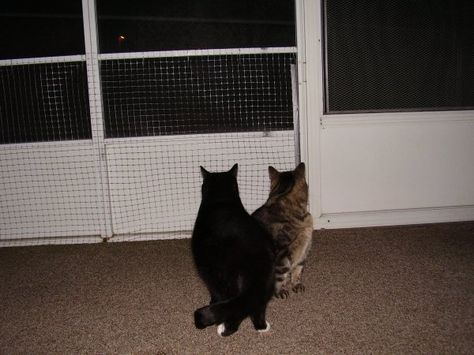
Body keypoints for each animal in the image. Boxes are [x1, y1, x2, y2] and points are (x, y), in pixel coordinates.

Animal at [192, 164, 276, 336]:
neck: (221, 200)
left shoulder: (206, 269)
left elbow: (214, 292)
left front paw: (213, 302)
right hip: (264, 288)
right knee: (255, 307)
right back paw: (262, 327)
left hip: (227, 281)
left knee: (235, 308)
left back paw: (224, 329)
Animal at [254, 163, 312, 298]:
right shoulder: (282, 254)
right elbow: (280, 276)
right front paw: (280, 291)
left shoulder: (304, 250)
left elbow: (298, 270)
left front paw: (296, 285)